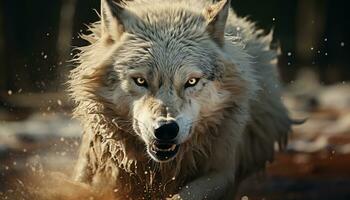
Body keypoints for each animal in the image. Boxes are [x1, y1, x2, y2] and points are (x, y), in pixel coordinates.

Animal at [68, 0, 292, 198]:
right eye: (140, 80)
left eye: (191, 81)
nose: (166, 129)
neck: (160, 169)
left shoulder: (221, 172)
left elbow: (185, 195)